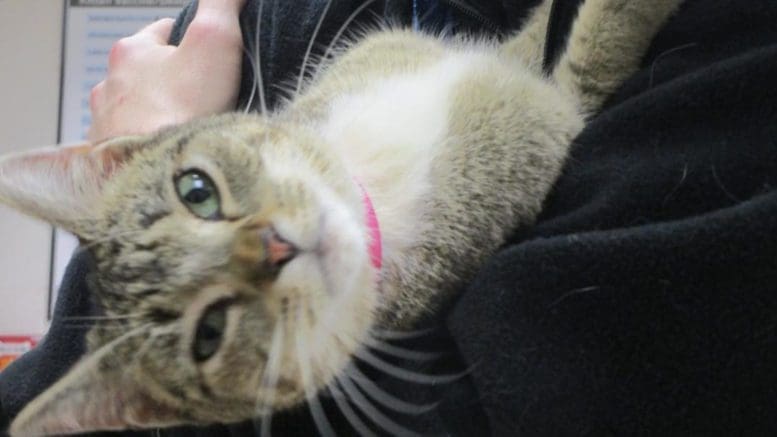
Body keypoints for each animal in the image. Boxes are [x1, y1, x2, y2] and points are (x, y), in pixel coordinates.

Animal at [6, 0, 684, 432]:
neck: (369, 183)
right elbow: (592, 49)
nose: (275, 247)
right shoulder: (546, 119)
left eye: (196, 190)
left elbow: (533, 33)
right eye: (208, 336)